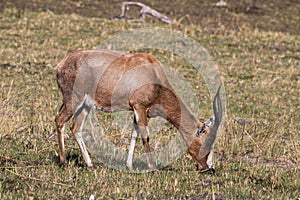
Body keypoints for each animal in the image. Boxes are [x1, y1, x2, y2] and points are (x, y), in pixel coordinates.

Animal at [55, 48, 221, 172]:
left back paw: (90, 165)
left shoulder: (137, 110)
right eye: (207, 143)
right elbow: (145, 136)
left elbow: (134, 134)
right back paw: (63, 163)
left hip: (85, 106)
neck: (153, 71)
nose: (210, 169)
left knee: (75, 127)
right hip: (74, 101)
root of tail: (61, 64)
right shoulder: (140, 107)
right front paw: (152, 167)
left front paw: (129, 166)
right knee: (59, 120)